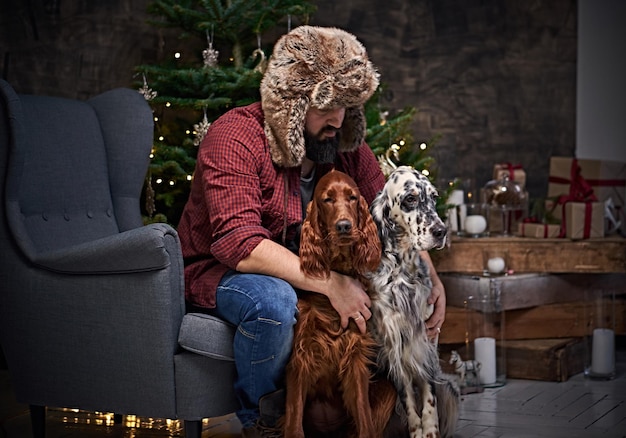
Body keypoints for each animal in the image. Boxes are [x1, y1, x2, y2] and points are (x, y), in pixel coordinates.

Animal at [282, 170, 394, 438]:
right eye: (327, 199)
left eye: (352, 197)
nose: (344, 226)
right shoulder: (299, 360)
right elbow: (294, 422)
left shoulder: (355, 358)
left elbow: (364, 418)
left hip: (388, 392)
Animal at [366, 167, 458, 438]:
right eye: (410, 199)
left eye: (434, 197)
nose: (441, 231)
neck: (403, 272)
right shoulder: (392, 343)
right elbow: (407, 395)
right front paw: (417, 429)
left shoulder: (425, 338)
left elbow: (428, 394)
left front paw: (430, 429)